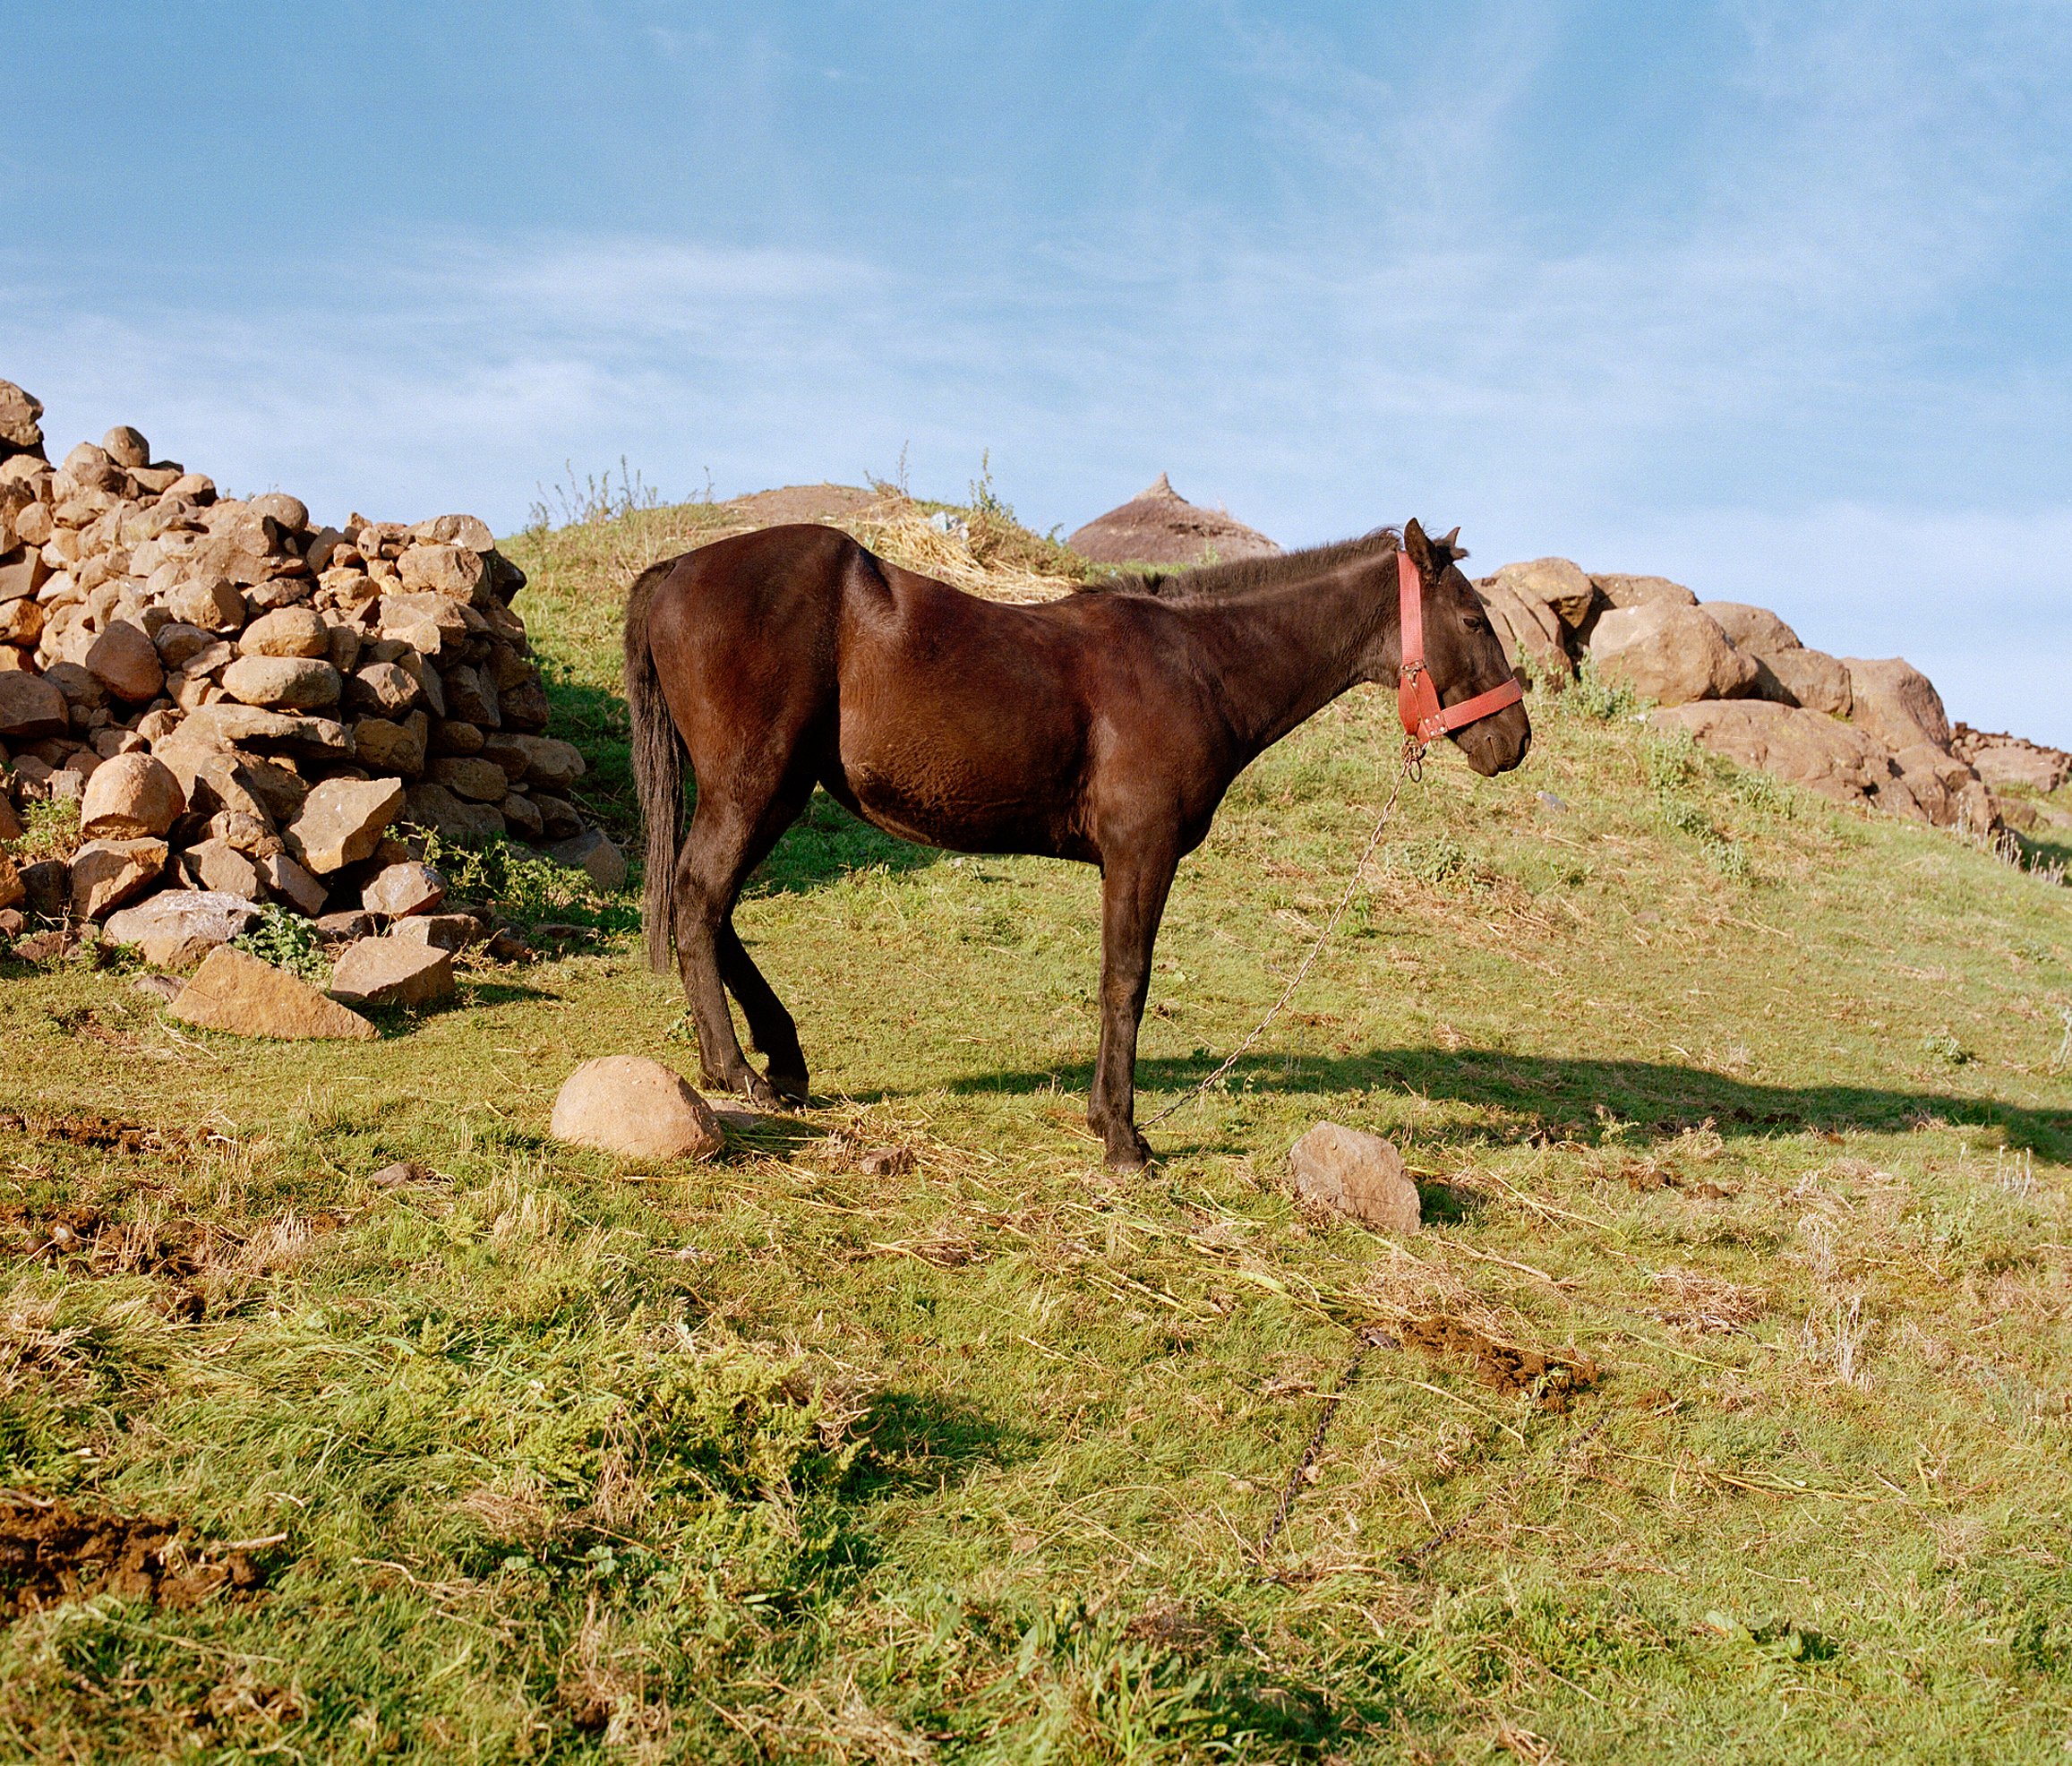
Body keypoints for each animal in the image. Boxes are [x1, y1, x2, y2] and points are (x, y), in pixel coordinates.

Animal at [621, 518, 1533, 1169]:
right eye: (1473, 619)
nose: (1515, 741)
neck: (1195, 662)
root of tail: (676, 571)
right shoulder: (1141, 852)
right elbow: (1125, 982)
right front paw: (1122, 1136)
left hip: (774, 791)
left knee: (710, 908)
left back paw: (779, 1056)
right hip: (756, 785)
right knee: (700, 900)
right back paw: (735, 1069)